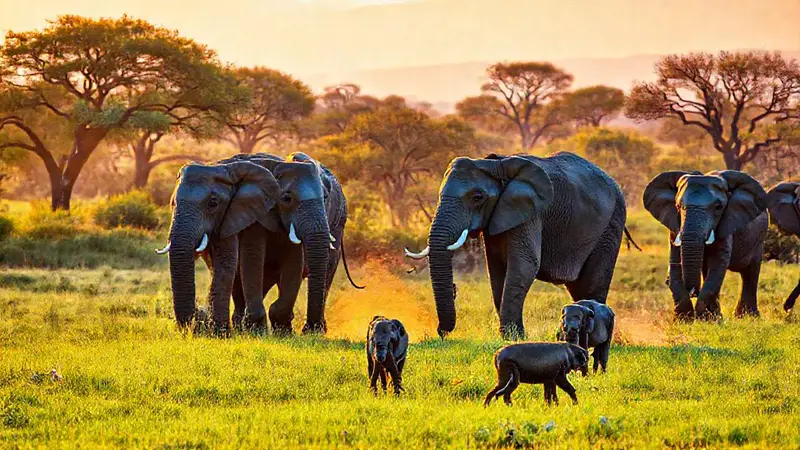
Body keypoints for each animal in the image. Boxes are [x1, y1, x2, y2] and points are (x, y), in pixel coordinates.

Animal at [156, 152, 361, 334]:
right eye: (286, 198)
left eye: (213, 203)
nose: (198, 316)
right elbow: (252, 257)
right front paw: (256, 330)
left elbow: (294, 261)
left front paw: (279, 330)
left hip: (339, 222)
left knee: (326, 273)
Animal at [405, 152, 629, 340]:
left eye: (477, 197)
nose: (442, 333)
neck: (497, 164)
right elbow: (496, 272)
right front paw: (512, 336)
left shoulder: (531, 213)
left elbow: (525, 265)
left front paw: (513, 338)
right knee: (579, 288)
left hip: (611, 223)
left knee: (593, 283)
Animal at [643, 170, 768, 319]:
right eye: (678, 206)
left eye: (718, 208)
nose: (693, 292)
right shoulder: (675, 226)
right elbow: (675, 260)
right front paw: (684, 320)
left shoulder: (727, 223)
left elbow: (718, 262)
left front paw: (706, 319)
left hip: (760, 237)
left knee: (750, 272)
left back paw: (747, 316)